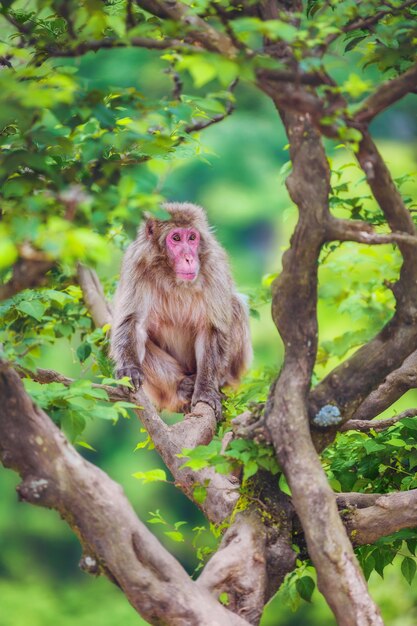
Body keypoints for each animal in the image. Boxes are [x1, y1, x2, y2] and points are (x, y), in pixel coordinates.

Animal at [109, 200, 250, 416]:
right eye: (176, 238)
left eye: (192, 238)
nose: (189, 258)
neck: (171, 277)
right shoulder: (136, 265)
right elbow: (133, 322)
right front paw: (129, 368)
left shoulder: (214, 265)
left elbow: (211, 328)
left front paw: (206, 391)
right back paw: (182, 386)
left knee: (235, 306)